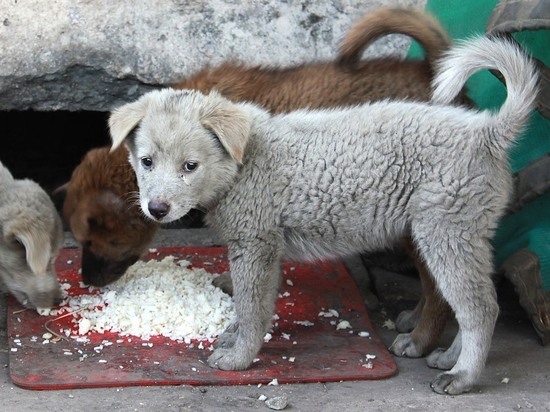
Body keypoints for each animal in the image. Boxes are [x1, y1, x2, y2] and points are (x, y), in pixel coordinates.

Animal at [111, 36, 540, 396]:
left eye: (190, 166)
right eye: (146, 162)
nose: (157, 209)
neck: (243, 161)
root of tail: (488, 132)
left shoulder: (256, 244)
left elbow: (251, 308)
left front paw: (238, 358)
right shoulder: (263, 247)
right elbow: (250, 306)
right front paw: (232, 337)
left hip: (446, 232)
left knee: (479, 308)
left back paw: (461, 375)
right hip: (463, 234)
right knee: (474, 301)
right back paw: (449, 357)